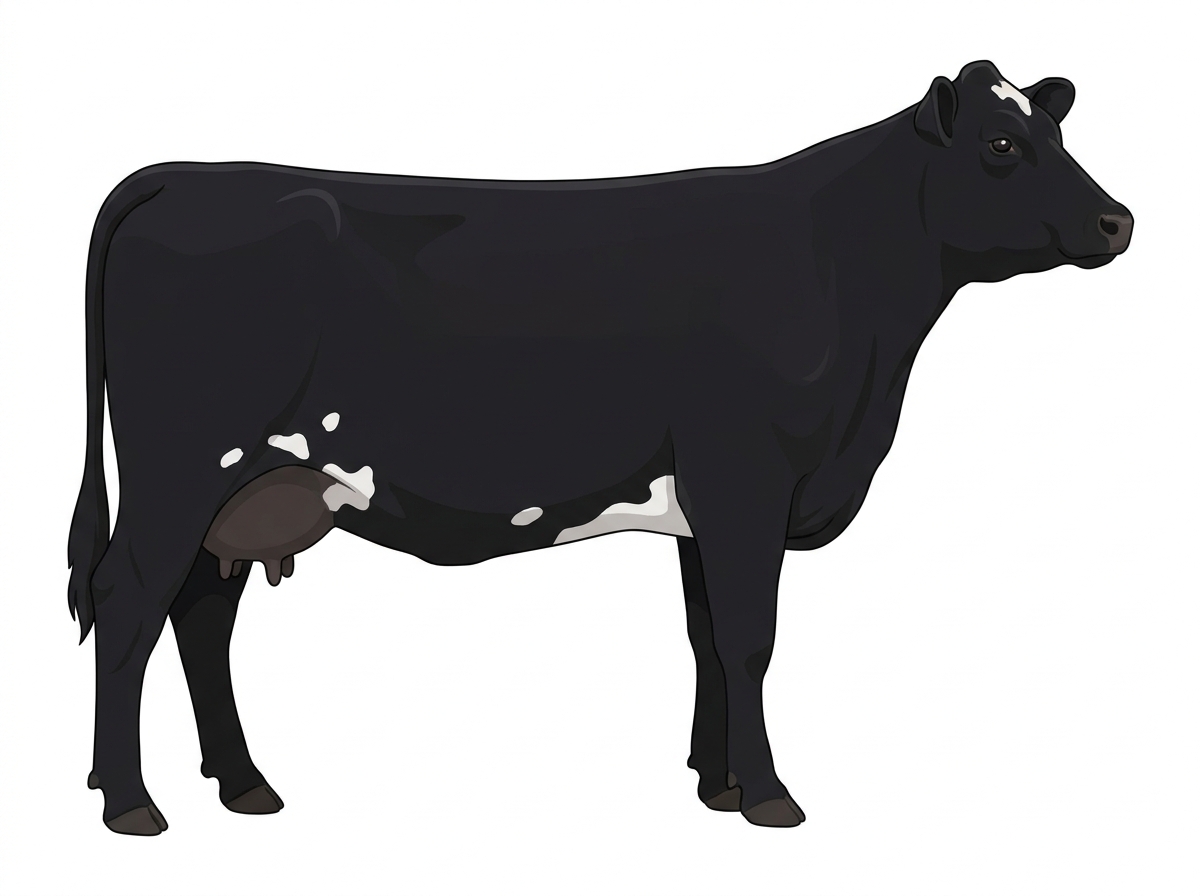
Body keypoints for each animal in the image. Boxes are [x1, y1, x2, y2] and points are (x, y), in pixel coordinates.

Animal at [67, 60, 1132, 835]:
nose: (1117, 219)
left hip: (245, 490)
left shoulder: (709, 503)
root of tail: (184, 176)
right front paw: (770, 796)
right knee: (130, 603)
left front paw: (717, 784)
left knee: (201, 616)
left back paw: (243, 784)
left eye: (1058, 133)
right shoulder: (747, 477)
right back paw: (129, 803)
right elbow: (750, 640)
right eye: (1002, 144)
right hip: (180, 470)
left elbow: (707, 637)